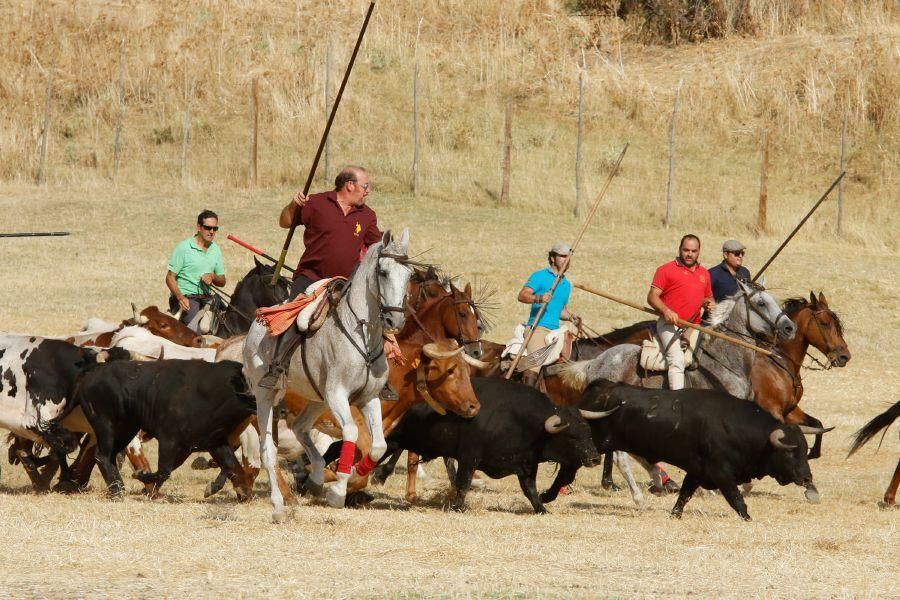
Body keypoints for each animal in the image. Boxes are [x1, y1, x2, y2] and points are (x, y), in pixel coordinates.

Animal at [540, 380, 828, 520]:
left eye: (805, 450)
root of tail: (601, 387)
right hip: (589, 449)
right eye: (789, 452)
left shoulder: (697, 471)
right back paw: (547, 496)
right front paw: (748, 518)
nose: (807, 478)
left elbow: (685, 495)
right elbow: (737, 500)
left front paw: (675, 514)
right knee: (567, 470)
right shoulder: (721, 473)